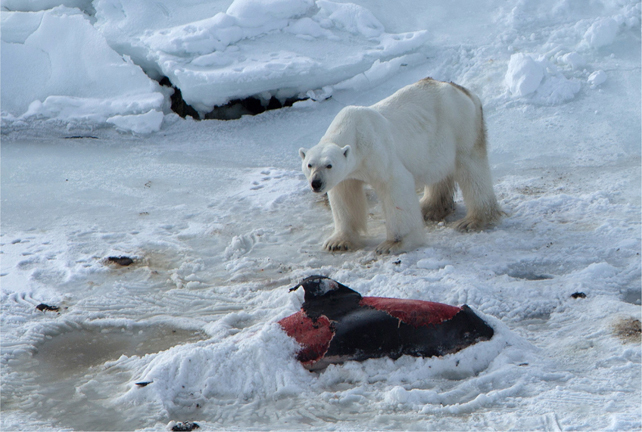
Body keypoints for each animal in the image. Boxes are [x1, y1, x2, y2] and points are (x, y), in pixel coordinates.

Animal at [299, 78, 503, 254]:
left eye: (329, 165)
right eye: (310, 165)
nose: (316, 183)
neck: (354, 132)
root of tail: (463, 90)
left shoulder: (377, 152)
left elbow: (395, 185)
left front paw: (393, 244)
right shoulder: (347, 174)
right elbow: (345, 195)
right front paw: (337, 242)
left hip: (461, 126)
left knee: (472, 169)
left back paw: (473, 220)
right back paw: (429, 207)